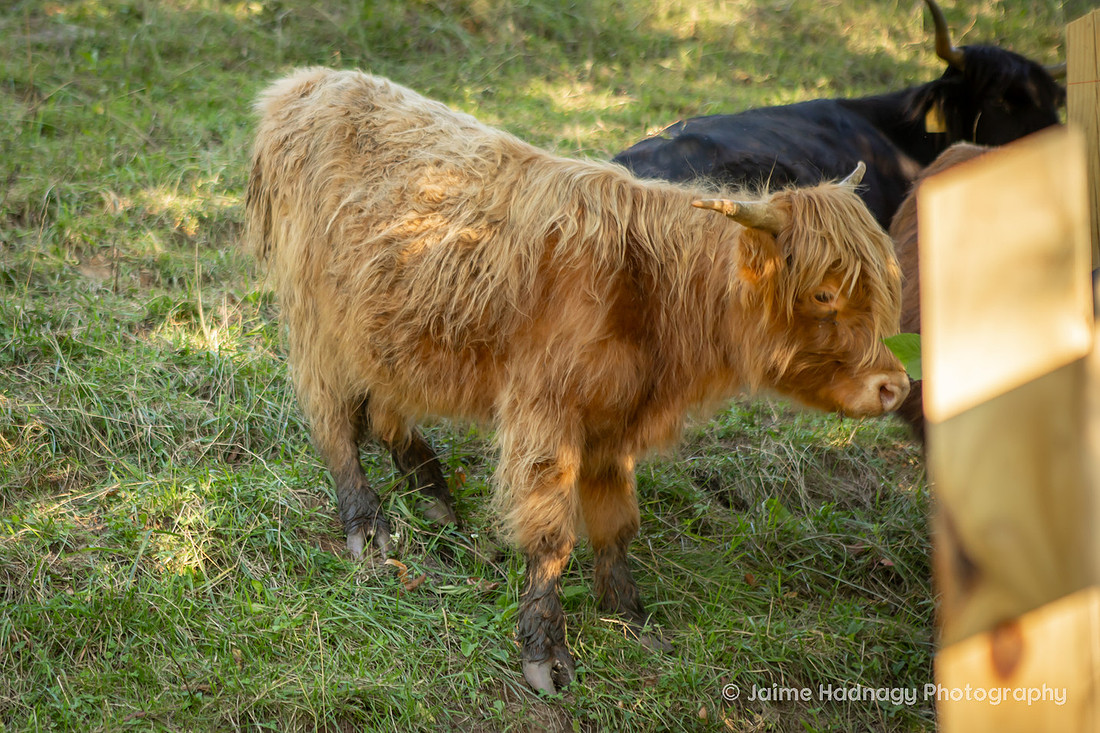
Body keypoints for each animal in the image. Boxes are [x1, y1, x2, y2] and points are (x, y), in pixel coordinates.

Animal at [244, 67, 909, 695]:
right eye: (823, 293)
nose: (895, 386)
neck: (645, 295)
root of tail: (306, 83)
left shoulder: (614, 422)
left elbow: (616, 525)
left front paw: (630, 615)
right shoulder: (546, 414)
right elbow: (552, 535)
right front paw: (545, 651)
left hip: (383, 327)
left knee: (384, 408)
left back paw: (433, 493)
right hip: (316, 319)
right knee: (332, 419)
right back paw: (367, 524)